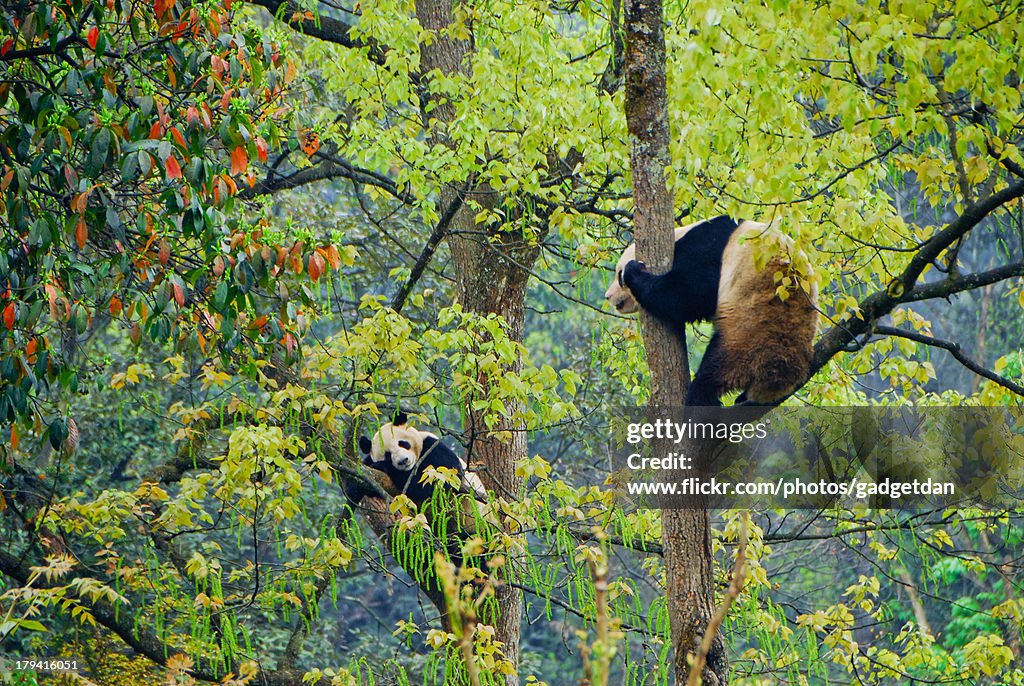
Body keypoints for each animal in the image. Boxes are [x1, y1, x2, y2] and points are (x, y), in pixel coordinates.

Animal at [357, 411, 487, 506]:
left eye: (402, 443)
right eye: (387, 455)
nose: (403, 461)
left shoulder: (433, 447)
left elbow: (435, 483)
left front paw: (383, 467)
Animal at [604, 215, 818, 406]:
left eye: (618, 276)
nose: (608, 296)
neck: (679, 235)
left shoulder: (708, 245)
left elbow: (690, 293)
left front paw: (635, 271)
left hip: (748, 336)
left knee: (710, 377)